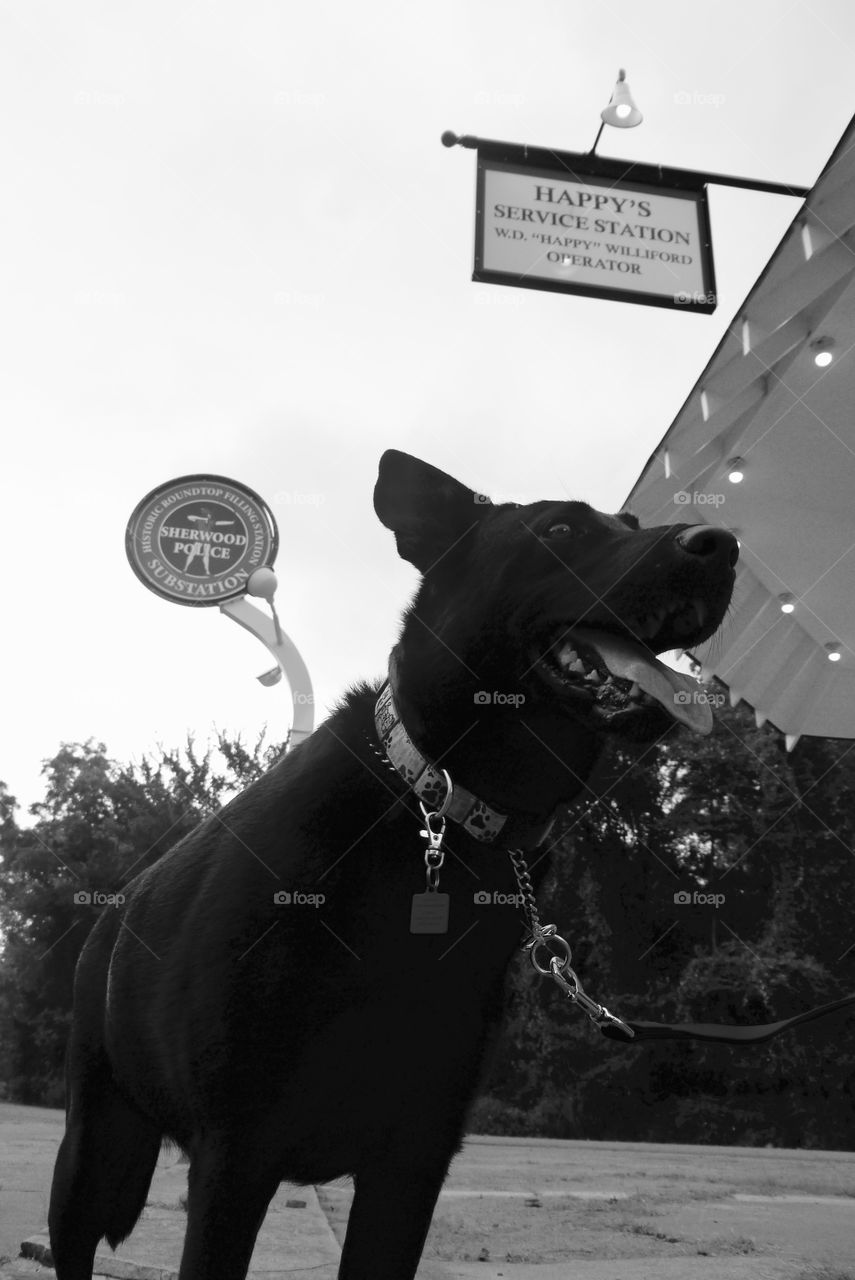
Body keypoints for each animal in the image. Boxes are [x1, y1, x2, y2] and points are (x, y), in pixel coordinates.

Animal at [51, 450, 737, 1280]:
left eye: (630, 523)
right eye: (560, 530)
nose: (723, 545)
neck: (439, 799)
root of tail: (110, 919)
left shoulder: (410, 1166)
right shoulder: (234, 1159)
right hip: (93, 1158)